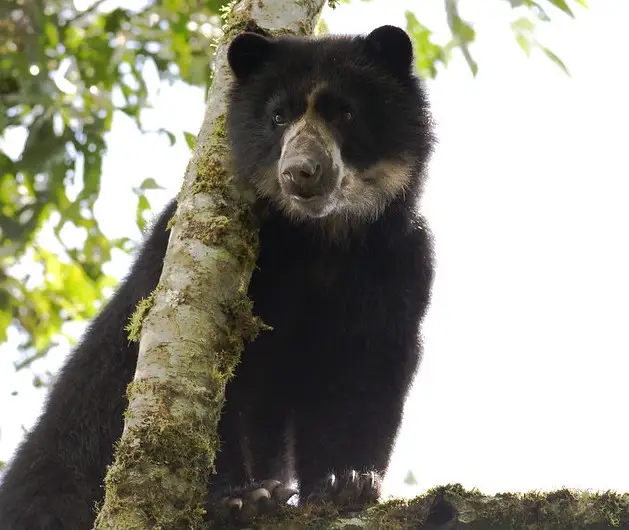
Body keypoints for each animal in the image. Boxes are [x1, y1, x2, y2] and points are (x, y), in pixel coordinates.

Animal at [0, 22, 434, 524]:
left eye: (344, 112)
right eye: (278, 116)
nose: (300, 173)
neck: (319, 237)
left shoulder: (400, 261)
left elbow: (367, 368)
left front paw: (346, 483)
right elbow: (216, 390)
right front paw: (240, 497)